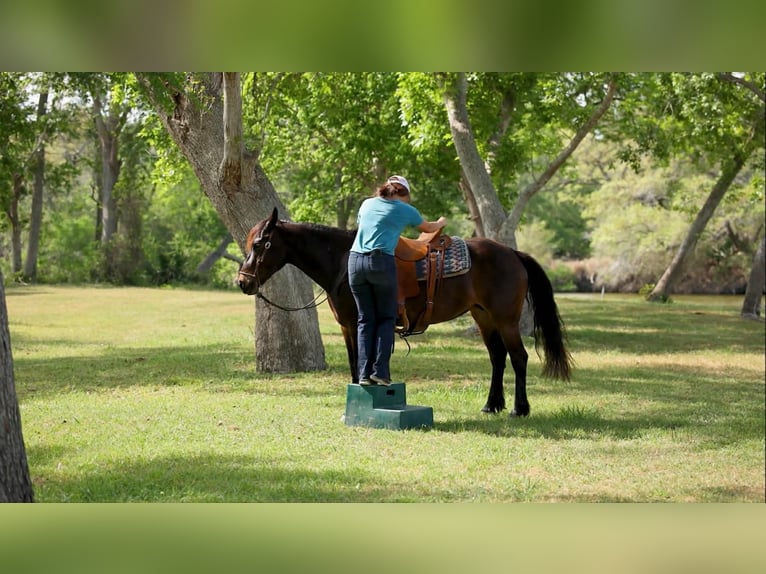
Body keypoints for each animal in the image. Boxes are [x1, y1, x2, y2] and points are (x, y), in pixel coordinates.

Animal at [237, 207, 572, 417]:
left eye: (261, 244)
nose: (243, 282)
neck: (345, 260)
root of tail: (512, 253)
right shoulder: (349, 326)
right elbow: (356, 362)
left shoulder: (360, 322)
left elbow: (362, 361)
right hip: (484, 318)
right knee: (497, 358)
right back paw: (492, 405)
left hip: (506, 320)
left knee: (518, 358)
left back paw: (520, 408)